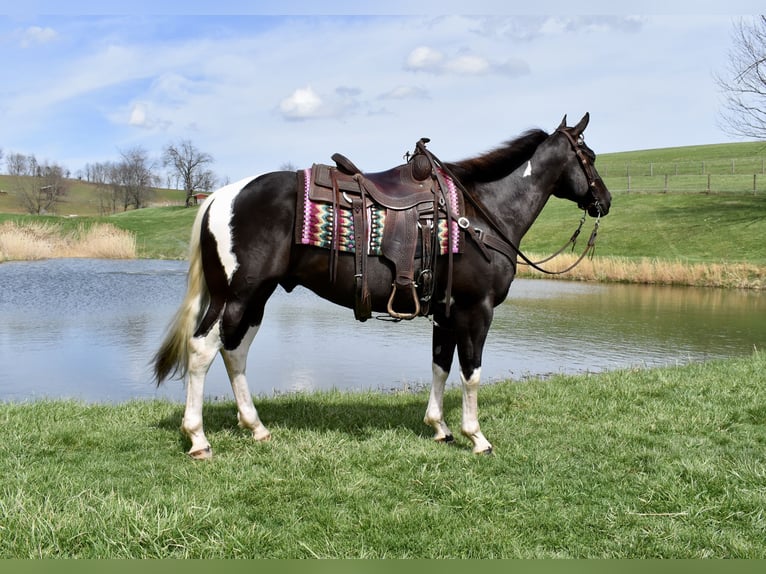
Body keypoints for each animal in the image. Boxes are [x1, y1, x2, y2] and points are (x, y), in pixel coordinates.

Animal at [153, 113, 611, 458]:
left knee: (235, 352)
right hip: (236, 294)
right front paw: (476, 436)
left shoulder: (445, 313)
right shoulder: (475, 310)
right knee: (203, 349)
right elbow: (471, 372)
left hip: (255, 298)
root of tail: (219, 197)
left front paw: (439, 427)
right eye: (588, 156)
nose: (604, 201)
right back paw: (198, 438)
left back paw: (256, 427)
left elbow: (440, 365)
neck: (482, 214)